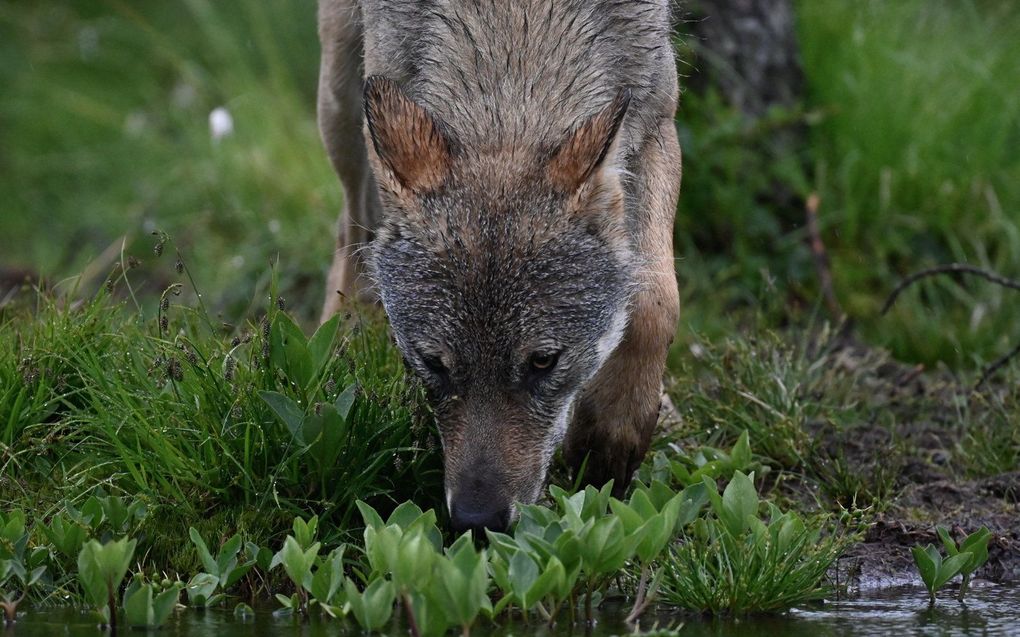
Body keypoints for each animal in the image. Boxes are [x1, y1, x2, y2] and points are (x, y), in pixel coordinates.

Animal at [316, 0, 685, 529]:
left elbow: (654, 304)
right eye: (433, 363)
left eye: (543, 362)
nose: (477, 520)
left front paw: (611, 436)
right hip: (342, 96)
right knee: (351, 231)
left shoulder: (657, 117)